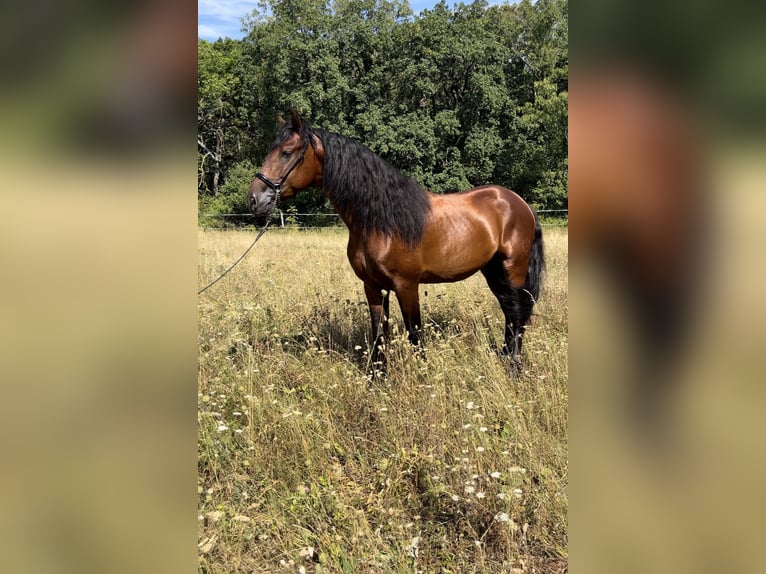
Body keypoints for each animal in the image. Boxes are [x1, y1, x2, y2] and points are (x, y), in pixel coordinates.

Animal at [248, 112, 544, 374]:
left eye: (286, 152)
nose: (254, 199)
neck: (381, 221)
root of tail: (520, 203)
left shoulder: (407, 285)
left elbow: (415, 333)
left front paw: (422, 376)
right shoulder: (373, 286)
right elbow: (379, 333)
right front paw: (377, 379)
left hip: (513, 270)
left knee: (517, 313)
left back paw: (514, 367)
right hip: (493, 271)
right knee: (509, 312)